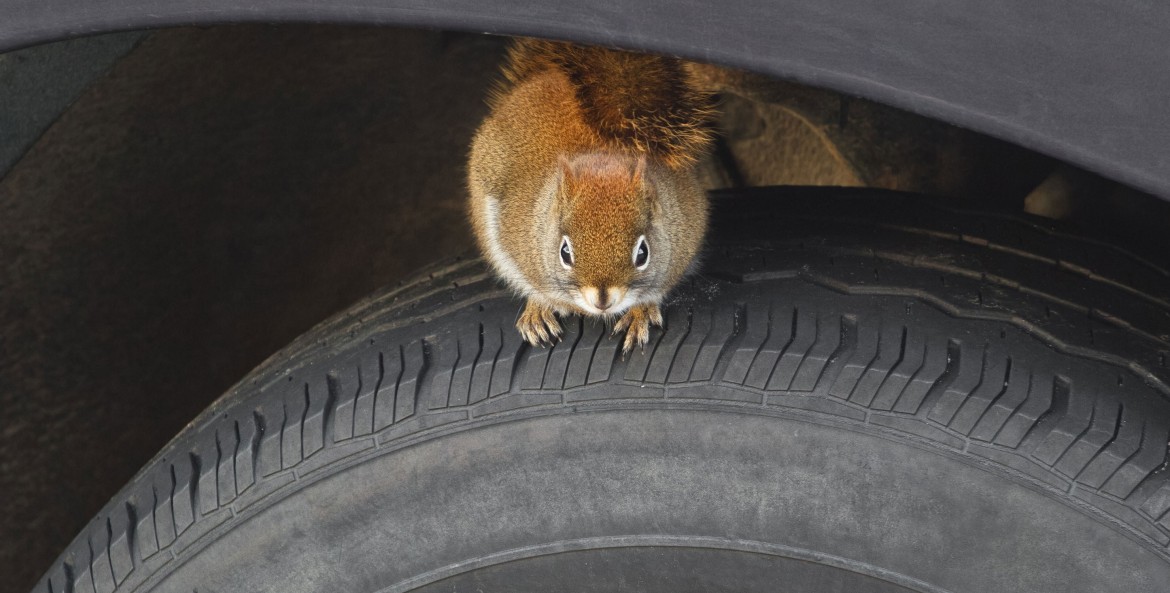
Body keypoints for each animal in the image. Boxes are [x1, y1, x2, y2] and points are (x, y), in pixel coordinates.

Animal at [465, 39, 711, 355]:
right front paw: (538, 308)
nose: (602, 301)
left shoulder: (685, 238)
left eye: (643, 253)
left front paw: (641, 312)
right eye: (564, 252)